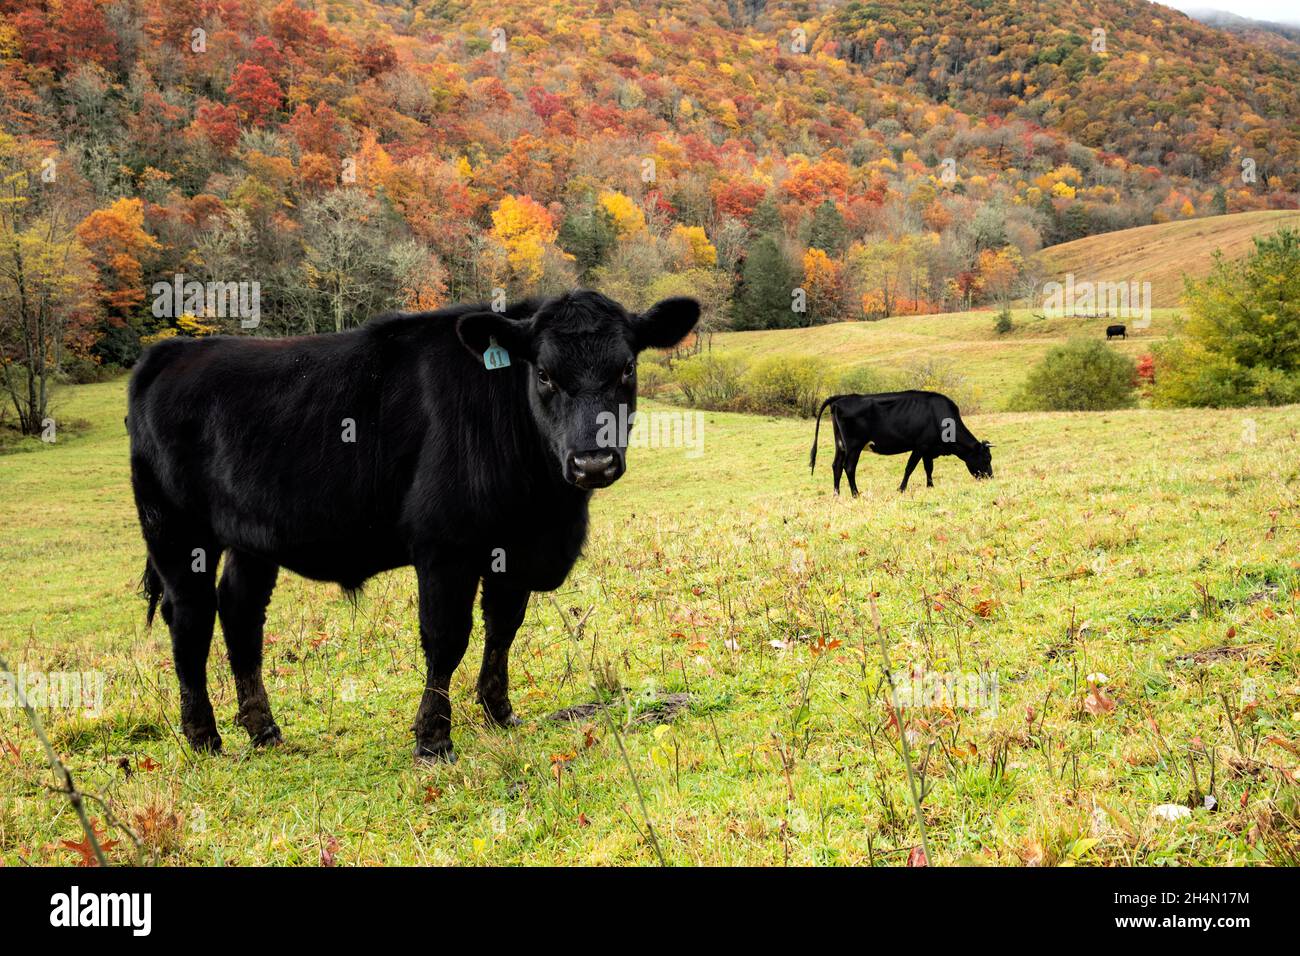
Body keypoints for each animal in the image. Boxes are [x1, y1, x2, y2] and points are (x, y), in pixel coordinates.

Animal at [128, 290, 699, 763]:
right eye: (543, 374)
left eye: (627, 368)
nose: (592, 463)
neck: (546, 510)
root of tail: (168, 354)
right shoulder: (444, 548)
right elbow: (447, 639)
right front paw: (433, 738)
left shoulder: (511, 550)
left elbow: (503, 629)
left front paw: (499, 712)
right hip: (175, 533)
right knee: (191, 619)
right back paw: (204, 737)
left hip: (252, 539)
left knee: (240, 614)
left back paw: (263, 729)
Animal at [809, 390, 993, 495]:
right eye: (986, 459)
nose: (990, 477)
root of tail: (841, 398)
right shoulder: (921, 446)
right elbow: (910, 468)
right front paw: (901, 489)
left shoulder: (928, 449)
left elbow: (928, 468)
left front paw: (930, 486)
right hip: (854, 446)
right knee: (849, 467)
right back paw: (856, 494)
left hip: (840, 444)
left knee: (836, 466)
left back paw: (837, 494)